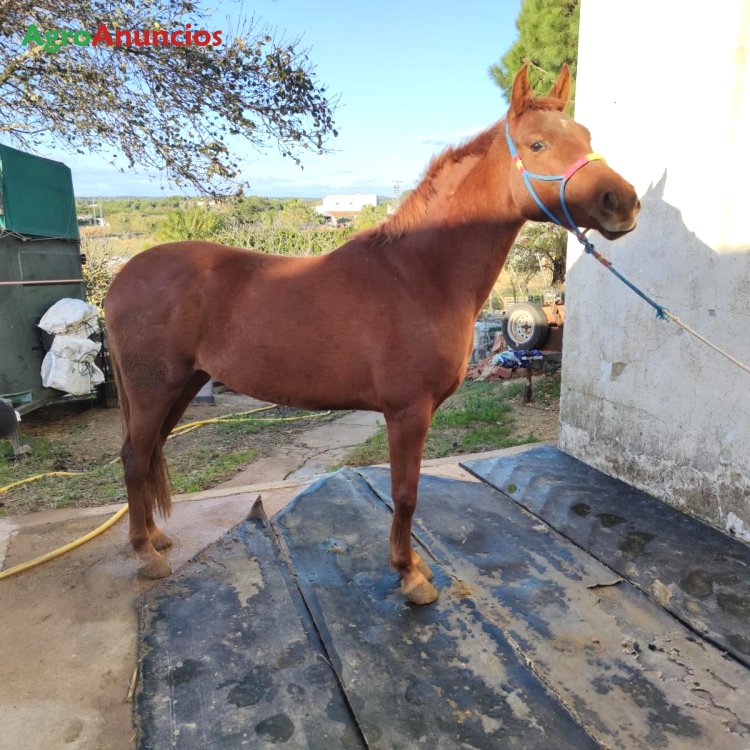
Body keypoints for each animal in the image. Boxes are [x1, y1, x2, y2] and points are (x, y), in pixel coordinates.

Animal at [106, 64, 640, 604]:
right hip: (156, 389)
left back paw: (155, 537)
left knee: (147, 455)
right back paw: (146, 555)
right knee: (134, 457)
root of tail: (123, 277)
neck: (420, 273)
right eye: (536, 144)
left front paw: (415, 565)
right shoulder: (407, 412)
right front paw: (410, 576)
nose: (624, 202)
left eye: (586, 136)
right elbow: (405, 494)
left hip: (182, 386)